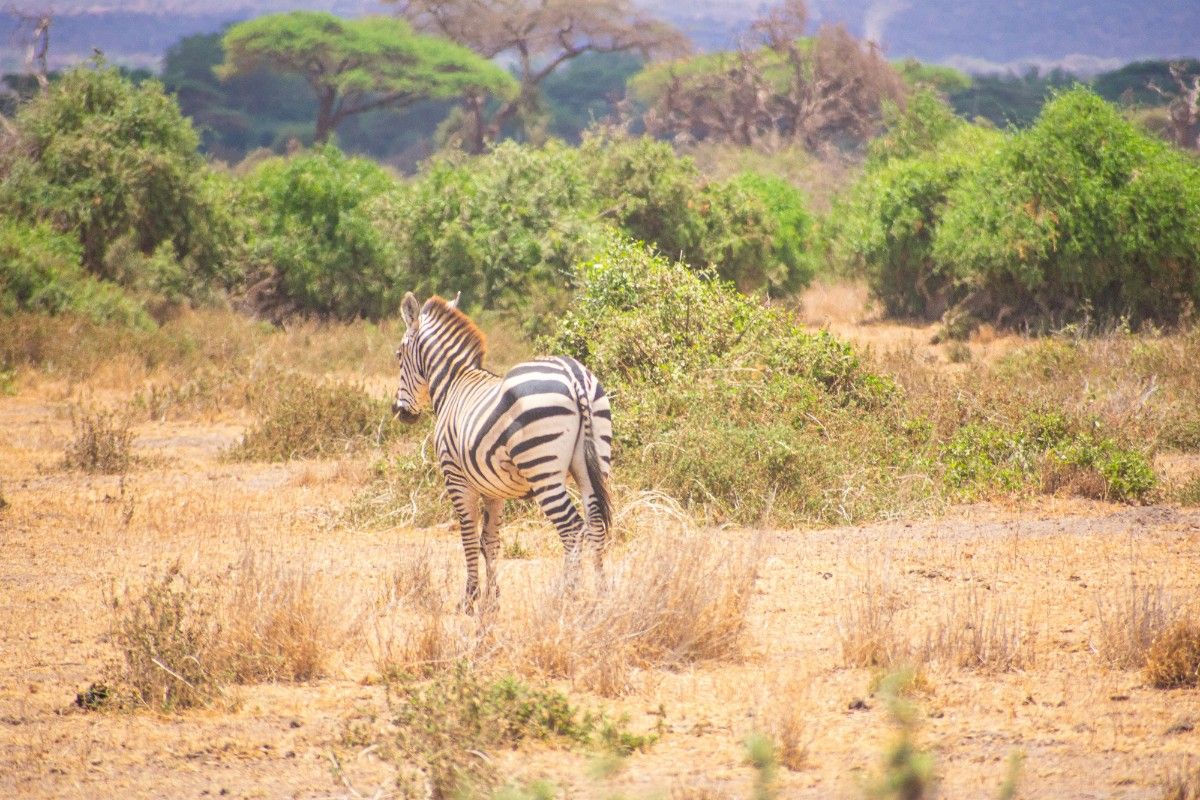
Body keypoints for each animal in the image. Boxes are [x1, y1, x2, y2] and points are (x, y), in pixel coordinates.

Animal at [393, 291, 614, 609]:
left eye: (398, 356)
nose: (401, 413)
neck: (454, 384)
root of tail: (573, 375)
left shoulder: (456, 478)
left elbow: (469, 537)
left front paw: (470, 599)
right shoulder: (493, 489)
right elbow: (490, 541)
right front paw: (492, 599)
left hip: (543, 468)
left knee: (572, 528)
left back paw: (567, 597)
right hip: (594, 460)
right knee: (595, 523)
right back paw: (602, 595)